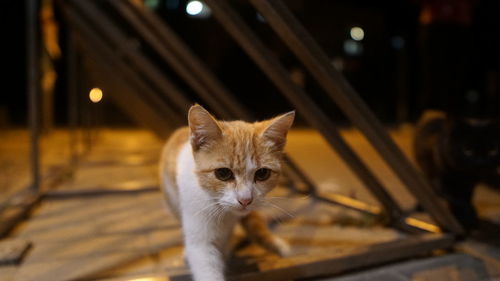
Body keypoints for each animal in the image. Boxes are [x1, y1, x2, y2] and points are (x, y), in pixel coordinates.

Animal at [159, 104, 292, 278]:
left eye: (262, 173)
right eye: (223, 173)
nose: (245, 200)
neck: (223, 213)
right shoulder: (199, 229)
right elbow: (204, 261)